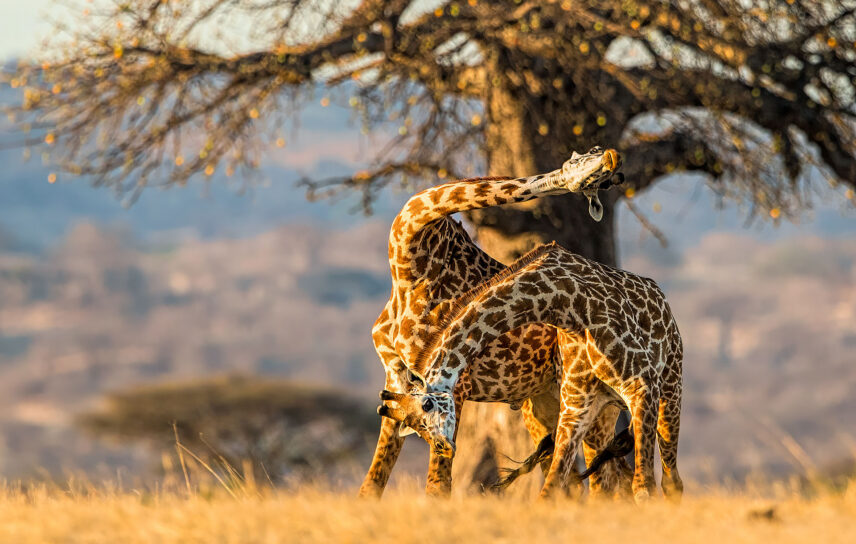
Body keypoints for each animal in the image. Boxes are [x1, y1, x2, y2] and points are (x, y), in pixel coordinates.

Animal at [360, 147, 628, 498]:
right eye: (585, 165)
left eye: (602, 180)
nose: (613, 160)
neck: (411, 265)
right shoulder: (397, 382)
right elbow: (372, 484)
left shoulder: (453, 382)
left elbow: (438, 485)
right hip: (544, 403)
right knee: (572, 479)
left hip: (595, 406)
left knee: (605, 481)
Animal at [377, 242, 684, 503]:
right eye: (416, 428)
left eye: (427, 405)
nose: (442, 447)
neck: (563, 303)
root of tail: (662, 299)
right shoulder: (576, 406)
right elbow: (550, 489)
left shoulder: (641, 385)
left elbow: (644, 487)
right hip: (604, 408)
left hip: (670, 386)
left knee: (669, 481)